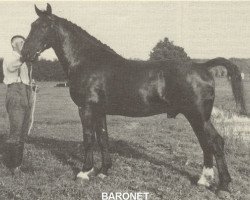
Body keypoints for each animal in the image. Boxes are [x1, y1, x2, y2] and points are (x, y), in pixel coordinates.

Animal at [21, 3, 246, 198]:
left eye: (44, 26)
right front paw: (103, 171)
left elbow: (88, 139)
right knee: (207, 143)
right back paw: (205, 180)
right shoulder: (99, 111)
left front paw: (84, 173)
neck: (87, 61)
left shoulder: (86, 109)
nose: (25, 54)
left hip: (198, 115)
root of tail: (203, 66)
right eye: (32, 25)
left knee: (215, 142)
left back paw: (222, 185)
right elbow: (103, 139)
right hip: (197, 117)